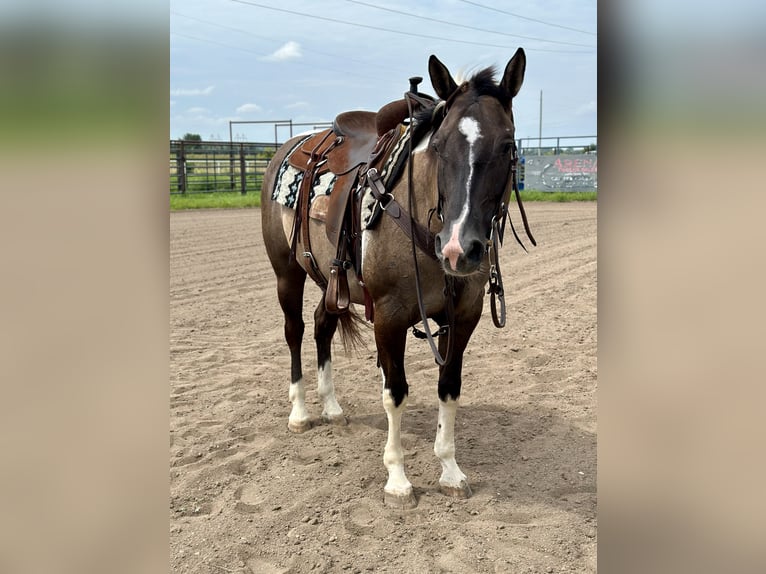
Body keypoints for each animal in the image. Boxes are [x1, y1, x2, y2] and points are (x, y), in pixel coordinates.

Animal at [260, 48, 532, 508]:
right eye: (439, 145)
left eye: (508, 144)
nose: (459, 249)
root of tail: (291, 146)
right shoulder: (388, 317)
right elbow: (396, 393)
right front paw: (398, 479)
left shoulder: (465, 316)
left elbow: (449, 386)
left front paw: (450, 470)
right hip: (287, 272)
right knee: (294, 330)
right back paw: (300, 412)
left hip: (331, 282)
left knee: (321, 325)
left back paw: (332, 408)